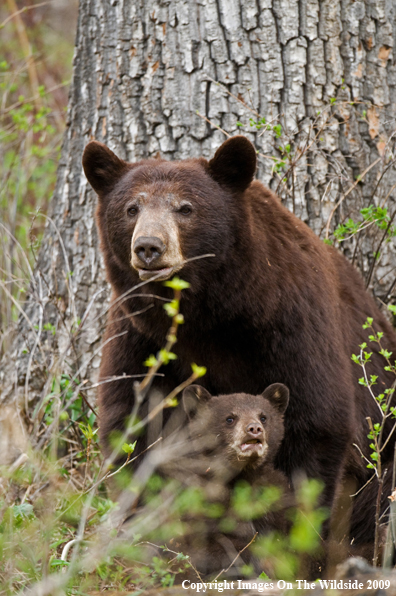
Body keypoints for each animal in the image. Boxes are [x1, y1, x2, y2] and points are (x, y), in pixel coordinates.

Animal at [82, 134, 396, 548]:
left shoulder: (293, 324)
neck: (210, 315)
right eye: (132, 208)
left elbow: (316, 423)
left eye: (186, 208)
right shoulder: (141, 338)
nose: (149, 247)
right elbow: (134, 423)